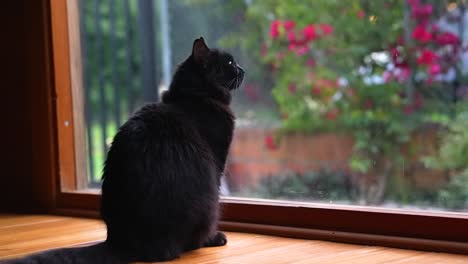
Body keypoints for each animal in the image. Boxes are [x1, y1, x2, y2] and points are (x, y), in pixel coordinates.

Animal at [2, 37, 245, 264]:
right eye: (230, 62)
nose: (243, 69)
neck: (193, 96)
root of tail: (119, 240)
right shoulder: (217, 163)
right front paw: (214, 238)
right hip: (207, 199)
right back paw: (209, 239)